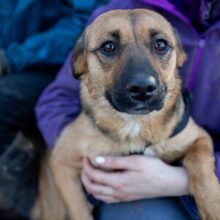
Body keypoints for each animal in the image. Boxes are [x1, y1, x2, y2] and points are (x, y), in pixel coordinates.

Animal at [32, 8, 220, 220]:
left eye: (161, 45)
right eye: (108, 47)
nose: (143, 88)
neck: (134, 124)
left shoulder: (199, 137)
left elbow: (199, 160)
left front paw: (212, 204)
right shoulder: (62, 160)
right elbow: (79, 210)